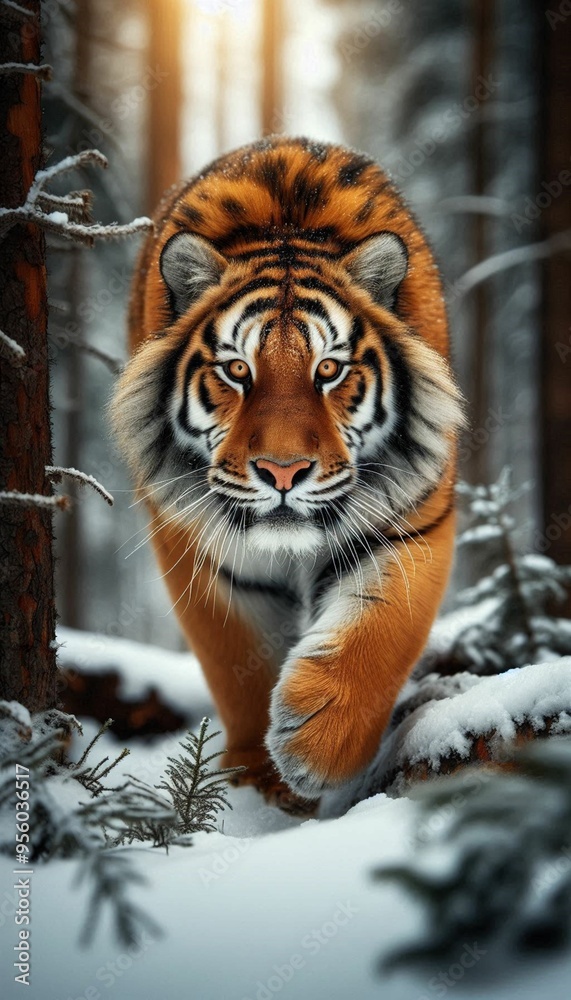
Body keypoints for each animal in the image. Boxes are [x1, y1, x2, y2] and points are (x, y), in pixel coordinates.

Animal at [111, 136, 465, 813]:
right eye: (236, 371)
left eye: (328, 369)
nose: (283, 471)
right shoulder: (199, 546)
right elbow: (238, 664)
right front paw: (259, 781)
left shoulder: (411, 522)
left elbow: (382, 631)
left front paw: (318, 746)